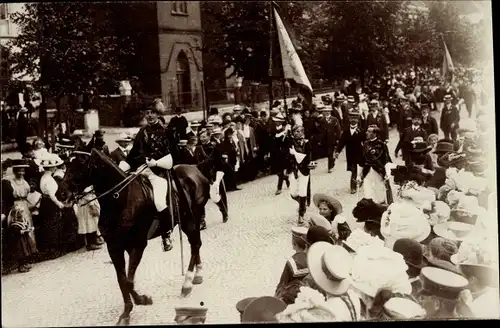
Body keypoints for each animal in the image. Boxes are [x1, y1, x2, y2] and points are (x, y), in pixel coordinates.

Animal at [55, 149, 224, 326]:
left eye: (78, 166)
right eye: (66, 166)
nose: (60, 194)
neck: (120, 200)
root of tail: (195, 168)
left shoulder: (138, 244)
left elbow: (129, 281)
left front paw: (142, 300)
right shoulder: (115, 248)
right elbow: (123, 281)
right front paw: (126, 312)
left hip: (192, 218)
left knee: (195, 244)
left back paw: (187, 283)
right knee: (195, 245)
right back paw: (198, 274)